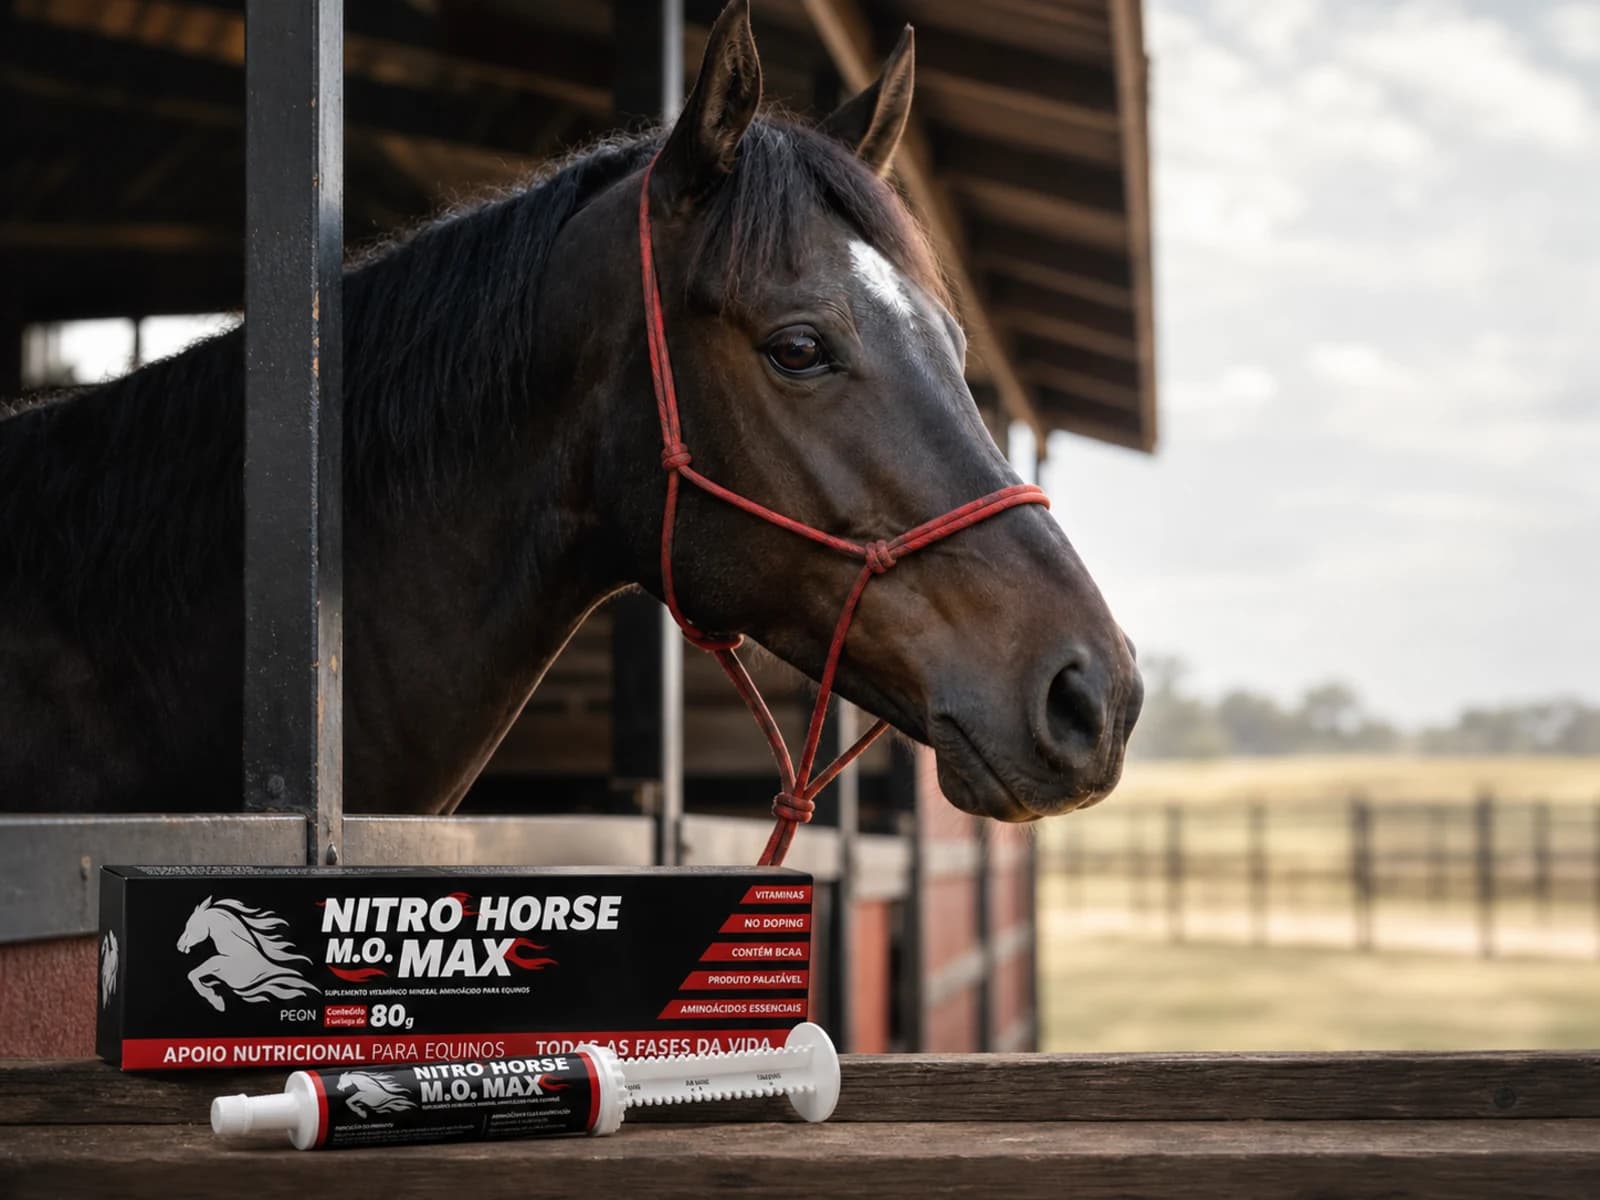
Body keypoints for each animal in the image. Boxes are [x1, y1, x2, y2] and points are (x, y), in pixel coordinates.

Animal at [175, 896, 321, 1012]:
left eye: (190, 926)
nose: (179, 946)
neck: (237, 952)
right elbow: (193, 976)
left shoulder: (218, 967)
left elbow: (192, 975)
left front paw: (217, 1001)